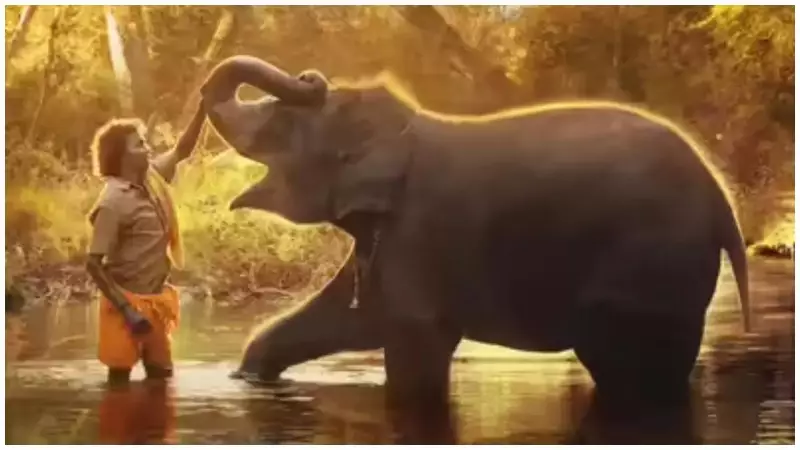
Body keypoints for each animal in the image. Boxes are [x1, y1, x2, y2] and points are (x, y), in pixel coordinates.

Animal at [199, 55, 751, 408]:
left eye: (279, 127)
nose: (310, 75)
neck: (399, 128)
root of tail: (722, 201)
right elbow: (350, 317)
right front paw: (246, 376)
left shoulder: (420, 231)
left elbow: (415, 350)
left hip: (649, 263)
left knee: (629, 370)